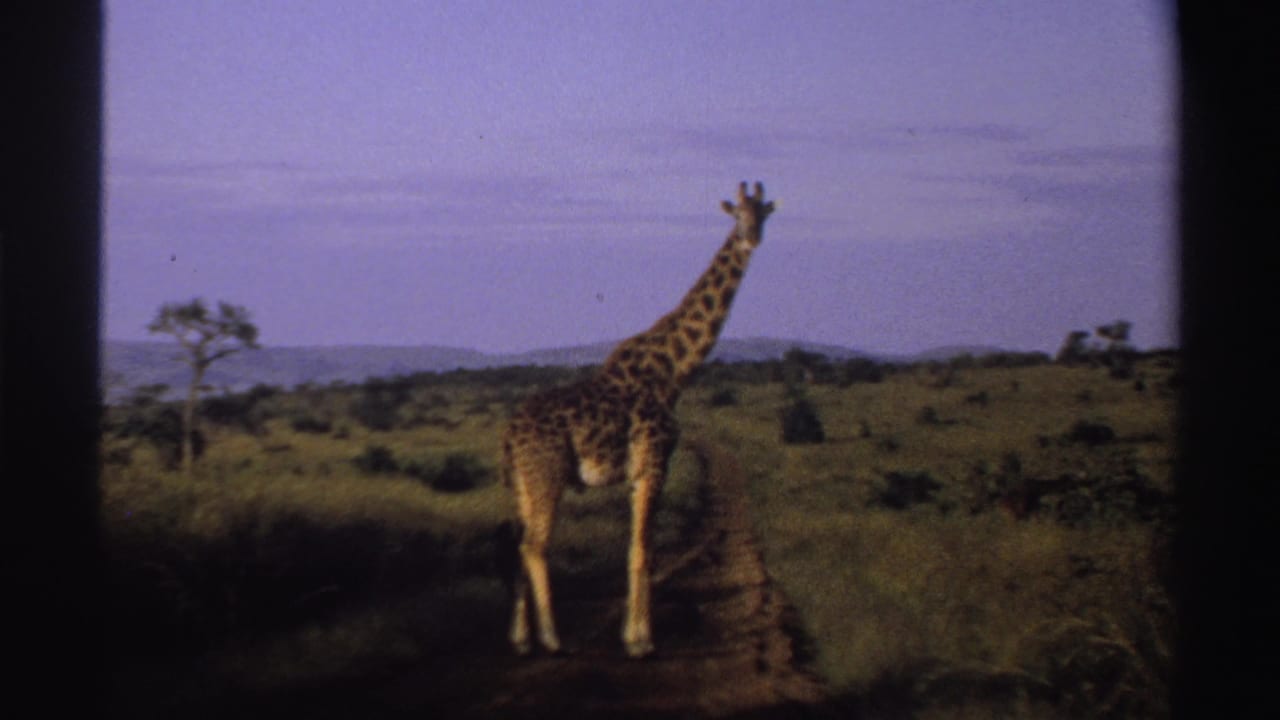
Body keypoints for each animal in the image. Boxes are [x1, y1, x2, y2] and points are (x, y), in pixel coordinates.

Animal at [502, 181, 775, 658]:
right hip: (547, 475)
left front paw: (632, 634)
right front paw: (641, 641)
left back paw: (520, 641)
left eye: (762, 214)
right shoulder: (653, 462)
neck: (674, 371)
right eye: (737, 215)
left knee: (520, 545)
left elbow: (636, 547)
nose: (751, 238)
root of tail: (509, 434)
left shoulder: (638, 472)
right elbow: (644, 550)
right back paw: (553, 639)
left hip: (523, 482)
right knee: (534, 545)